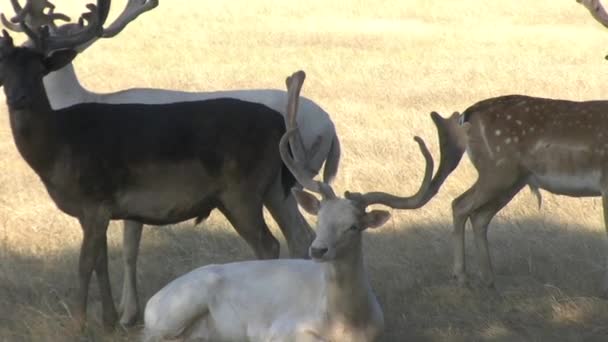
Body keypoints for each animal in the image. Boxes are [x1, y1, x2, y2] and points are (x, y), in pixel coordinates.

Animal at [1, 0, 342, 326]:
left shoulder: (98, 201)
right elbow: (104, 259)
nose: (18, 99)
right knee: (298, 237)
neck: (60, 144)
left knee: (271, 244)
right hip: (276, 188)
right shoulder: (103, 211)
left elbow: (94, 262)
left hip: (242, 191)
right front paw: (112, 319)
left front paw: (91, 323)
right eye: (4, 71)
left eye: (39, 68)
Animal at [141, 70, 436, 342]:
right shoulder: (281, 329)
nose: (318, 250)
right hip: (179, 307)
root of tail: (151, 303)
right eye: (319, 219)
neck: (346, 325)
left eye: (353, 226)